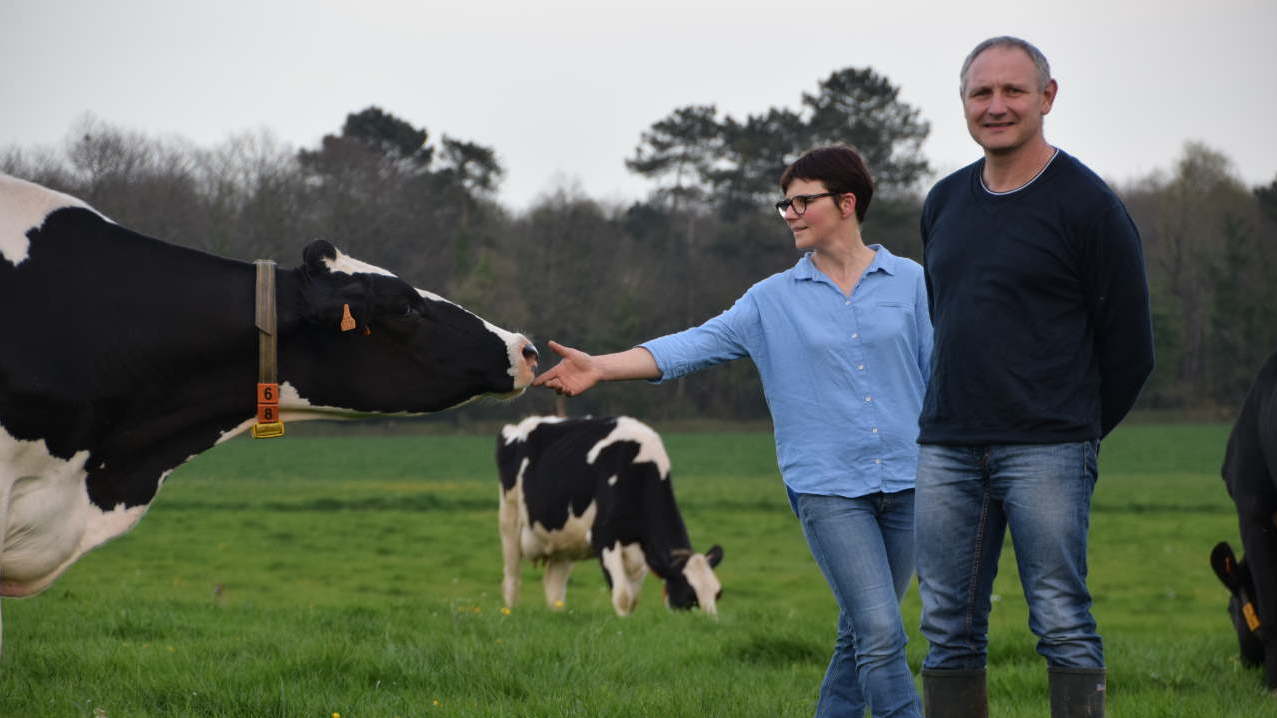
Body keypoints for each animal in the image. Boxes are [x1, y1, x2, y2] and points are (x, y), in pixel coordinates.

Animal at [495, 413, 725, 615]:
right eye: (689, 596)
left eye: (718, 594)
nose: (711, 622)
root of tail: (519, 425)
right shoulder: (604, 537)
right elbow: (622, 596)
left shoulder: (641, 549)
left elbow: (632, 599)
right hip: (510, 521)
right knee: (512, 579)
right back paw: (511, 611)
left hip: (563, 543)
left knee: (554, 587)